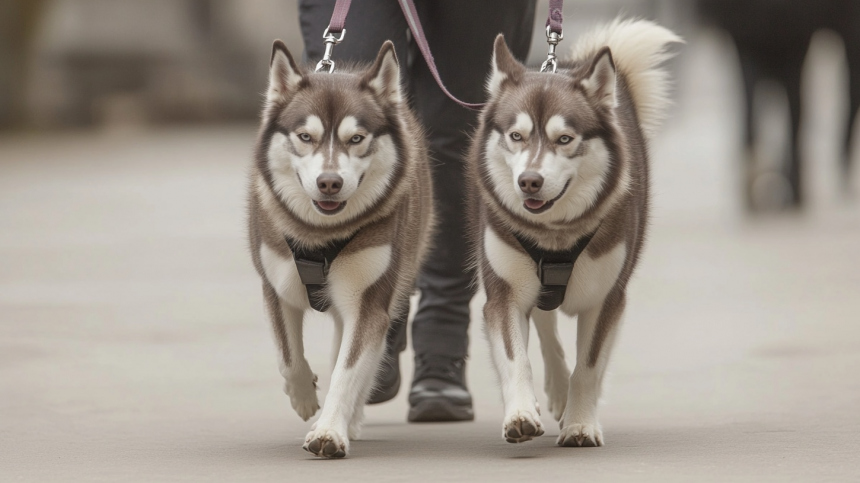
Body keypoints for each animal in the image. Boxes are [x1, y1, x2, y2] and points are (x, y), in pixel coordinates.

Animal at [249, 39, 436, 460]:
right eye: (305, 136)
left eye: (356, 138)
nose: (329, 182)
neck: (320, 235)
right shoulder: (275, 286)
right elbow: (289, 357)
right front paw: (303, 396)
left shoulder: (368, 301)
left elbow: (346, 371)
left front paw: (330, 430)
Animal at [470, 20, 680, 448]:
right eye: (516, 136)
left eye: (564, 139)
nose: (529, 181)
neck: (554, 235)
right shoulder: (503, 293)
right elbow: (517, 358)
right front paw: (521, 412)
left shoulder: (607, 297)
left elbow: (589, 366)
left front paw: (581, 423)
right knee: (545, 325)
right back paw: (552, 390)